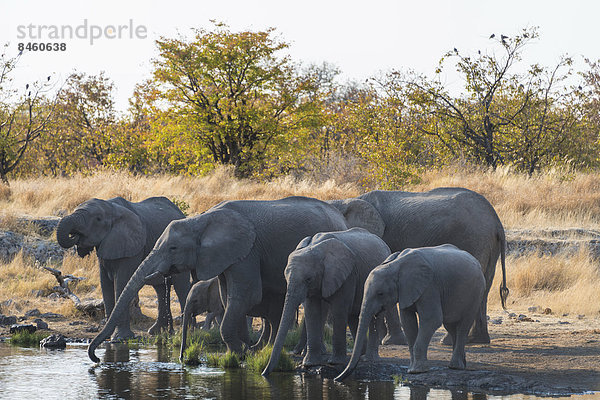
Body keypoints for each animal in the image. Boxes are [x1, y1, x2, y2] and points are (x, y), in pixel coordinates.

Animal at [56, 195, 190, 340]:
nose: (75, 234)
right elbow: (105, 284)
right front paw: (108, 337)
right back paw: (157, 332)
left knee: (180, 286)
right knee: (160, 288)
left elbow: (121, 282)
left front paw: (120, 338)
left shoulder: (132, 246)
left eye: (98, 219)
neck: (112, 208)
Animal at [86, 195, 344, 360]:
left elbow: (247, 295)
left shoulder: (246, 251)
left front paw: (240, 352)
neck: (201, 220)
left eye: (173, 249)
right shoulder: (226, 257)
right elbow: (228, 296)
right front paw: (243, 350)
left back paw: (300, 352)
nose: (96, 358)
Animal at [262, 228, 390, 376]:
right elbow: (312, 310)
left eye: (308, 279)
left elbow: (339, 309)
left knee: (375, 316)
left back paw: (369, 359)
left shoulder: (346, 275)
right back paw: (360, 355)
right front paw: (310, 364)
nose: (264, 373)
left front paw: (335, 363)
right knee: (353, 316)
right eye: (286, 277)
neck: (316, 248)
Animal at [328, 188, 506, 344]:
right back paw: (476, 340)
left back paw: (449, 341)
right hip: (488, 244)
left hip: (472, 239)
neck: (346, 201)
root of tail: (496, 221)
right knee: (485, 285)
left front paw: (387, 341)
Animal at [336, 244, 486, 382]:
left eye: (380, 294)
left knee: (463, 325)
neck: (395, 266)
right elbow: (408, 322)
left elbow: (432, 319)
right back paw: (460, 364)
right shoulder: (406, 290)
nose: (337, 379)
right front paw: (412, 369)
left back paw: (455, 366)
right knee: (451, 325)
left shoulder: (430, 286)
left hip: (476, 293)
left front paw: (417, 371)